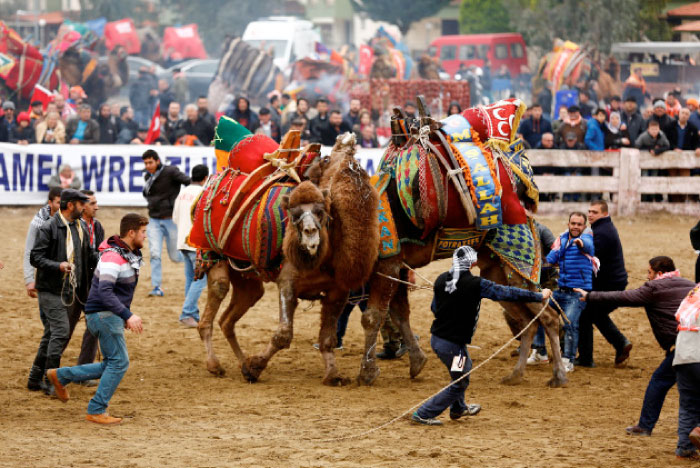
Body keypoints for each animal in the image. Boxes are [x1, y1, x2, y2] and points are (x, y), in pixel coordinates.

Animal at [197, 134, 380, 384]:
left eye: (321, 211)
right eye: (294, 215)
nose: (310, 232)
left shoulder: (338, 291)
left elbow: (328, 339)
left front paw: (333, 375)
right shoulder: (288, 282)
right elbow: (283, 335)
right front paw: (255, 367)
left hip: (246, 276)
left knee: (229, 318)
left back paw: (242, 362)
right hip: (212, 254)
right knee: (215, 298)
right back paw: (215, 365)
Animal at [356, 102, 568, 388]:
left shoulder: (387, 264)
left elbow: (374, 316)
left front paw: (367, 372)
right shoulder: (397, 266)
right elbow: (399, 314)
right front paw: (416, 362)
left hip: (517, 272)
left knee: (548, 316)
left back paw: (558, 375)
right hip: (496, 273)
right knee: (528, 320)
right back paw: (515, 374)